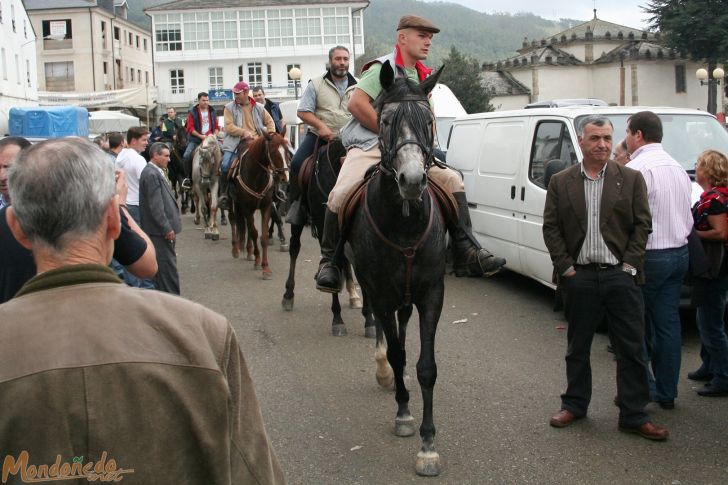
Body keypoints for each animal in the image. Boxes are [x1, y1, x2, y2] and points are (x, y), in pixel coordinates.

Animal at [229, 134, 288, 278]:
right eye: (274, 152)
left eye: (286, 151)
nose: (284, 177)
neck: (256, 176)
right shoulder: (247, 208)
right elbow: (254, 233)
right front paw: (257, 261)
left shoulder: (266, 207)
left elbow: (263, 236)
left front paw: (265, 267)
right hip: (232, 201)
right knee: (233, 220)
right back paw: (236, 249)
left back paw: (249, 251)